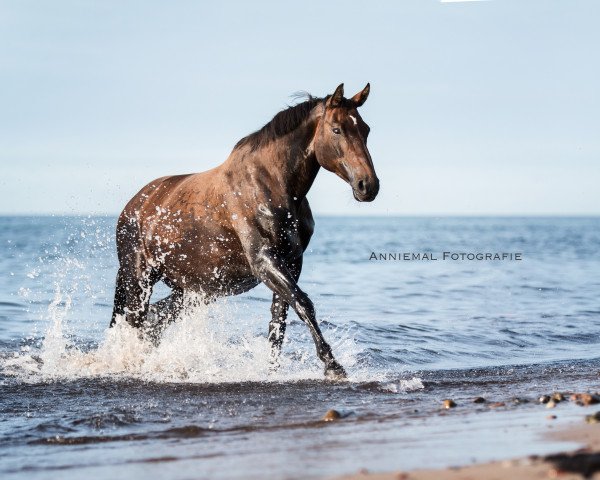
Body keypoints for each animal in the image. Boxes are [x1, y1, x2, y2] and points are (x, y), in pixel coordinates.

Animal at [110, 82, 378, 378]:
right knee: (136, 320)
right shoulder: (263, 260)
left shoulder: (292, 263)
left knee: (154, 320)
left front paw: (272, 372)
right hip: (139, 278)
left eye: (366, 130)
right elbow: (304, 304)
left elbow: (279, 322)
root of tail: (135, 204)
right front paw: (333, 366)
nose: (368, 186)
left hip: (189, 290)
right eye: (336, 129)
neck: (272, 186)